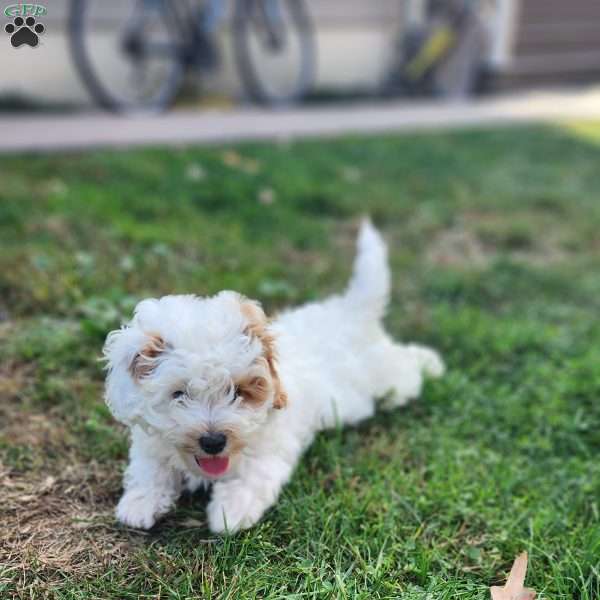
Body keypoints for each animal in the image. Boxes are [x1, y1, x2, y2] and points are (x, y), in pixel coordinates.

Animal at [103, 223, 442, 532]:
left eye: (238, 391)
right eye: (179, 394)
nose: (213, 441)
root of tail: (351, 311)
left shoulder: (270, 448)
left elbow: (252, 477)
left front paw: (229, 512)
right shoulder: (149, 442)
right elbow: (150, 467)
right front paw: (140, 503)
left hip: (386, 377)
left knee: (406, 364)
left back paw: (432, 363)